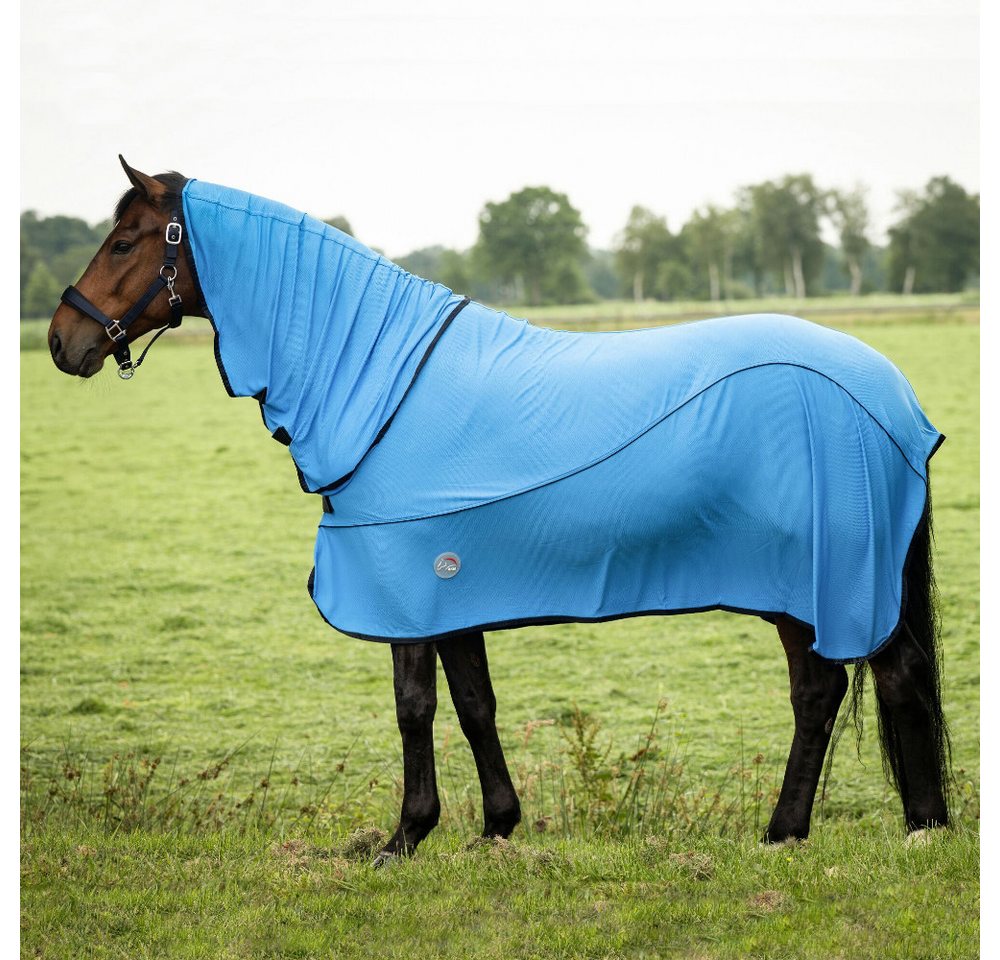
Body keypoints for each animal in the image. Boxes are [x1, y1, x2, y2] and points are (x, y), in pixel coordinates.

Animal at [47, 158, 951, 863]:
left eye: (125, 241)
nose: (61, 340)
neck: (385, 384)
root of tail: (895, 399)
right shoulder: (451, 585)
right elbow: (474, 703)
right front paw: (495, 829)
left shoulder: (402, 582)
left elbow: (415, 707)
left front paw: (403, 838)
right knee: (838, 688)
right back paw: (835, 830)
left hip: (826, 581)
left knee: (859, 681)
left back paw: (869, 831)